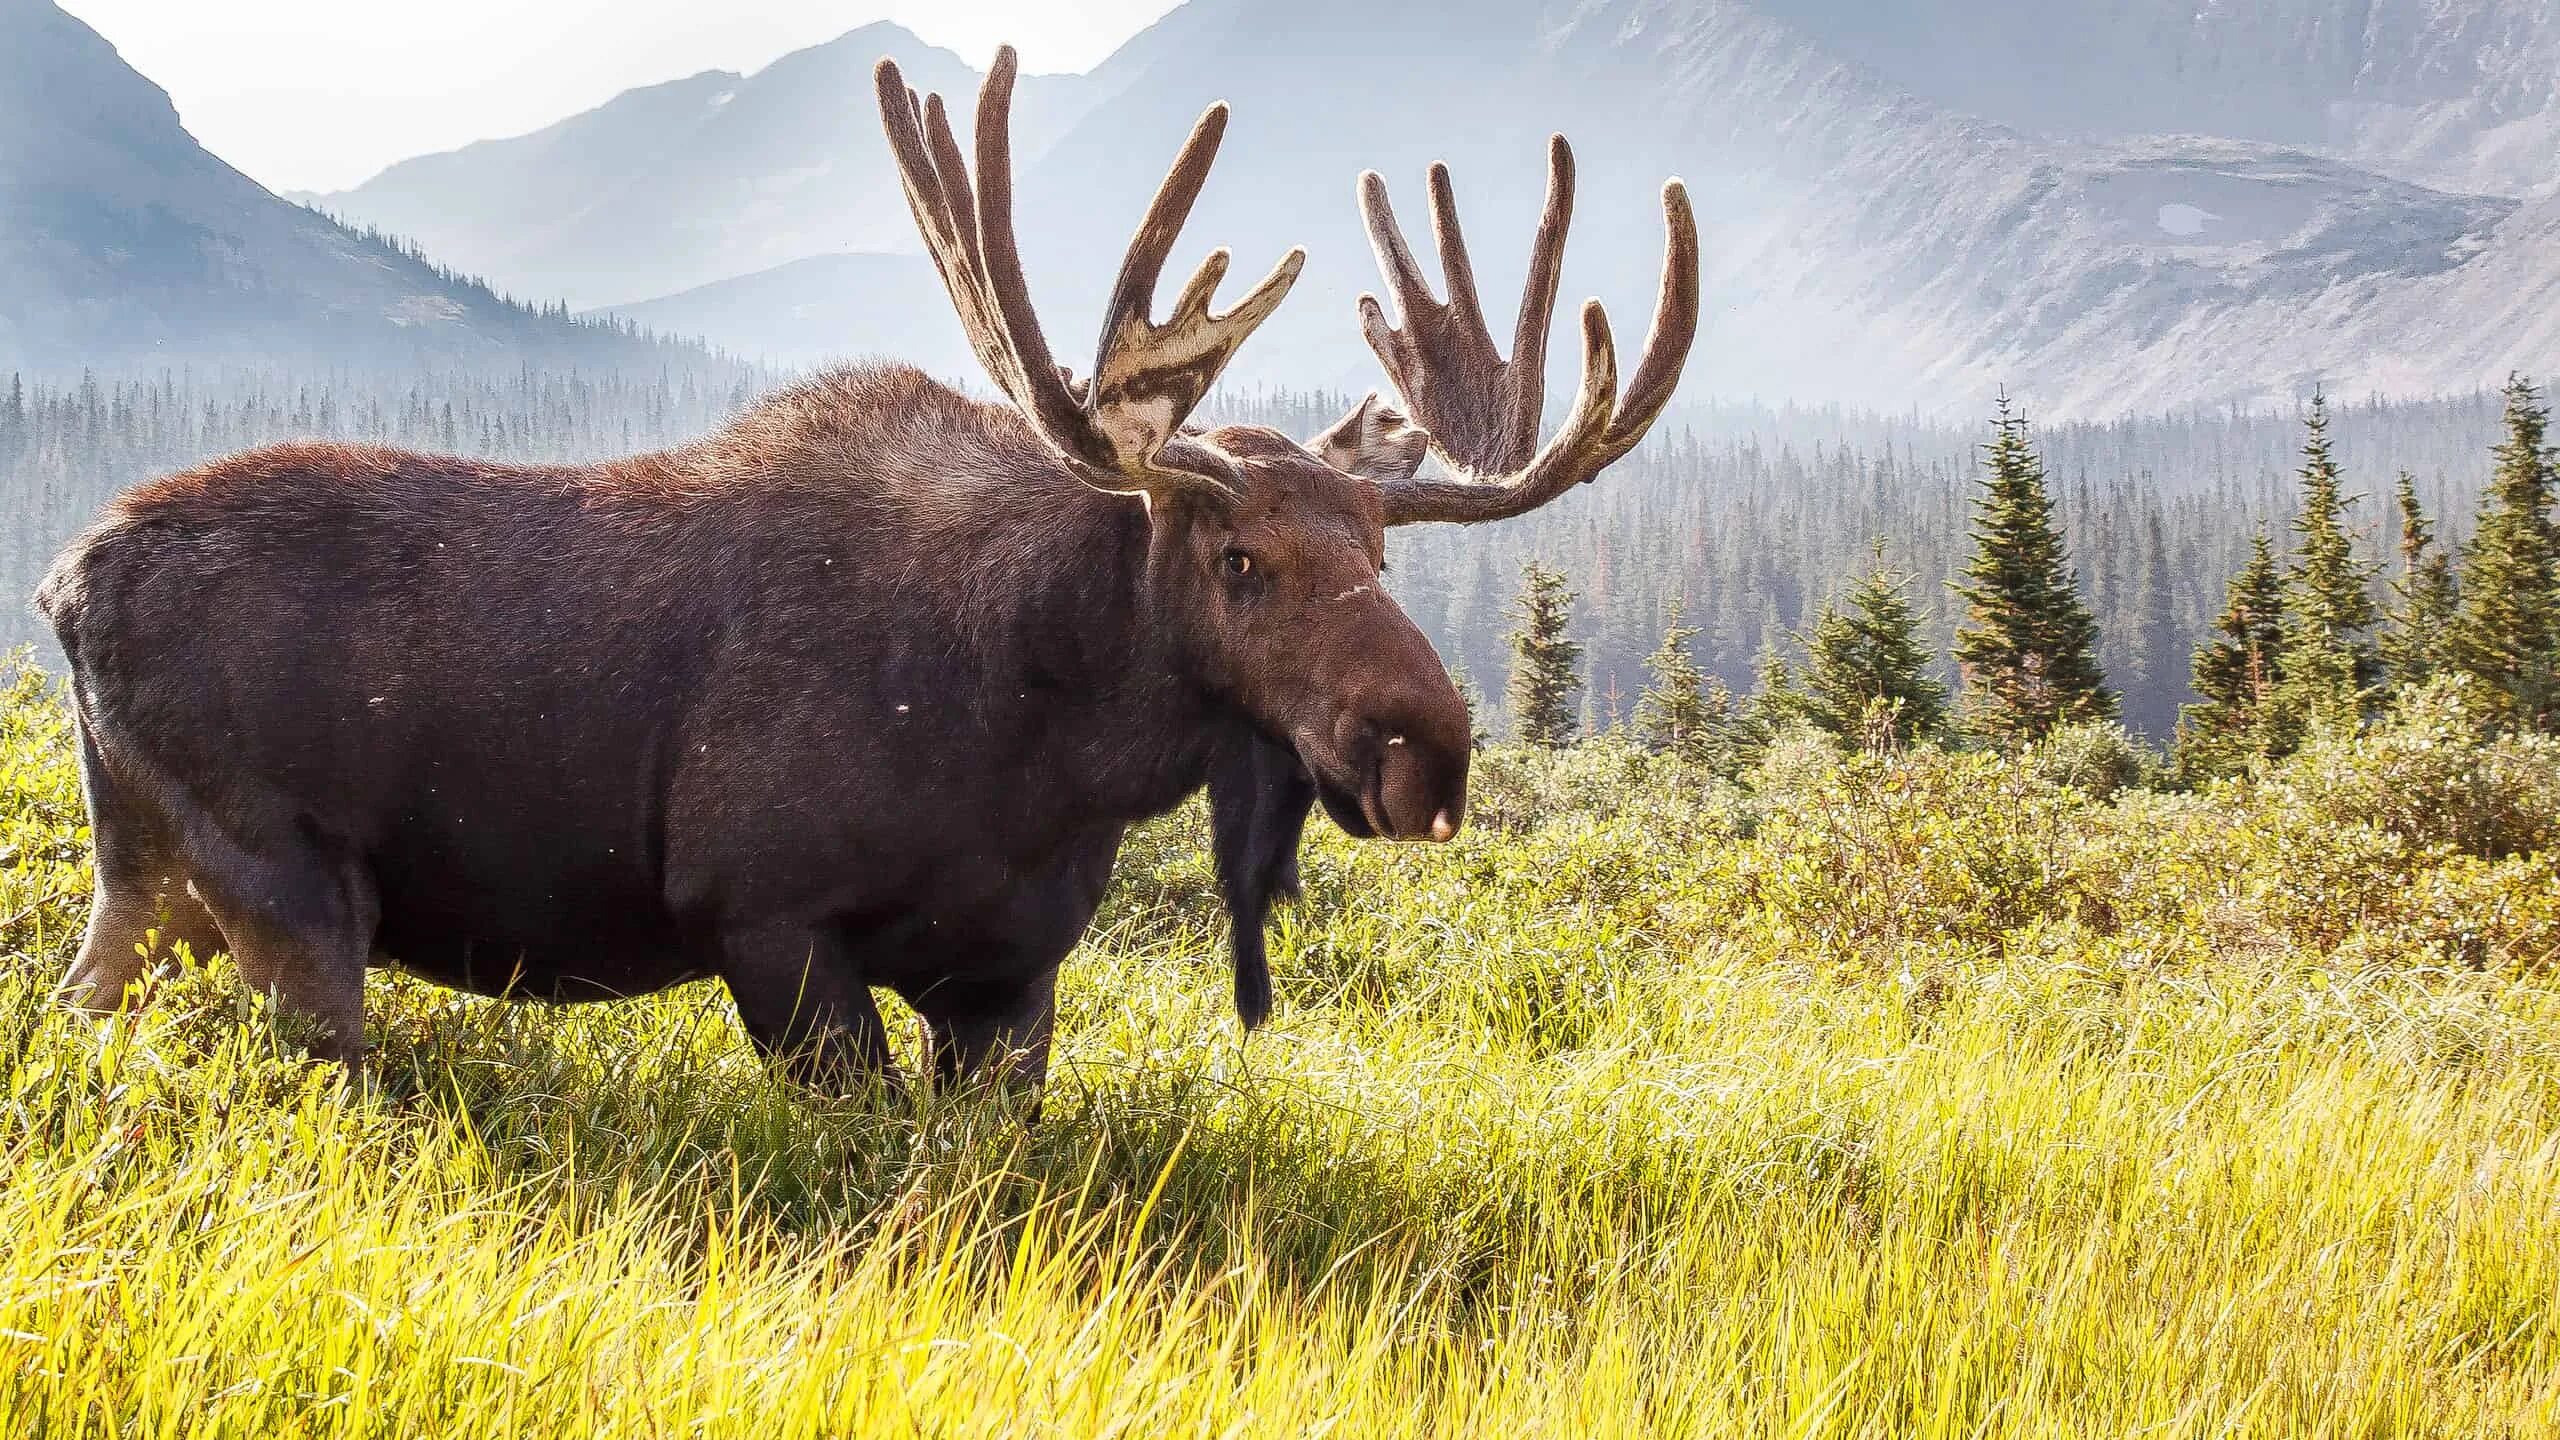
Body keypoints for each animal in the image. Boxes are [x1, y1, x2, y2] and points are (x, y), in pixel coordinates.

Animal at [35, 47, 1699, 1086]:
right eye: (1236, 557)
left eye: (1379, 551)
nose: (1429, 748)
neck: (1050, 750)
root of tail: (62, 586)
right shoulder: (762, 917)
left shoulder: (1010, 978)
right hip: (283, 880)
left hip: (150, 878)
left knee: (72, 1015)